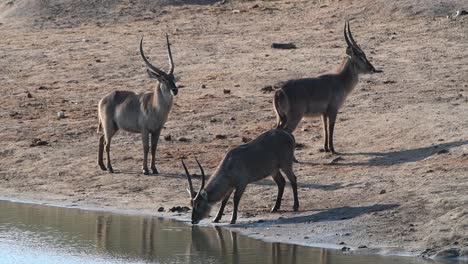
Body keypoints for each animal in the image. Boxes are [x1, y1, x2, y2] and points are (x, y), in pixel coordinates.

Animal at [97, 35, 177, 175]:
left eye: (173, 77)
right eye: (163, 79)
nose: (175, 90)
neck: (155, 106)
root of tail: (103, 99)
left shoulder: (157, 130)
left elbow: (154, 147)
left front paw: (154, 169)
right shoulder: (144, 130)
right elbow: (146, 147)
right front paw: (145, 169)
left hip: (114, 127)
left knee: (102, 138)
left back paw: (102, 166)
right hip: (108, 126)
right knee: (107, 144)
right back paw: (110, 168)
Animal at [274, 20, 380, 155]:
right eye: (361, 57)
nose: (372, 68)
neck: (341, 80)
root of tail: (280, 91)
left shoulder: (323, 113)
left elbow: (324, 128)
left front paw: (325, 148)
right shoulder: (333, 110)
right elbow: (331, 128)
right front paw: (333, 150)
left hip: (281, 118)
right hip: (294, 118)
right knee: (285, 132)